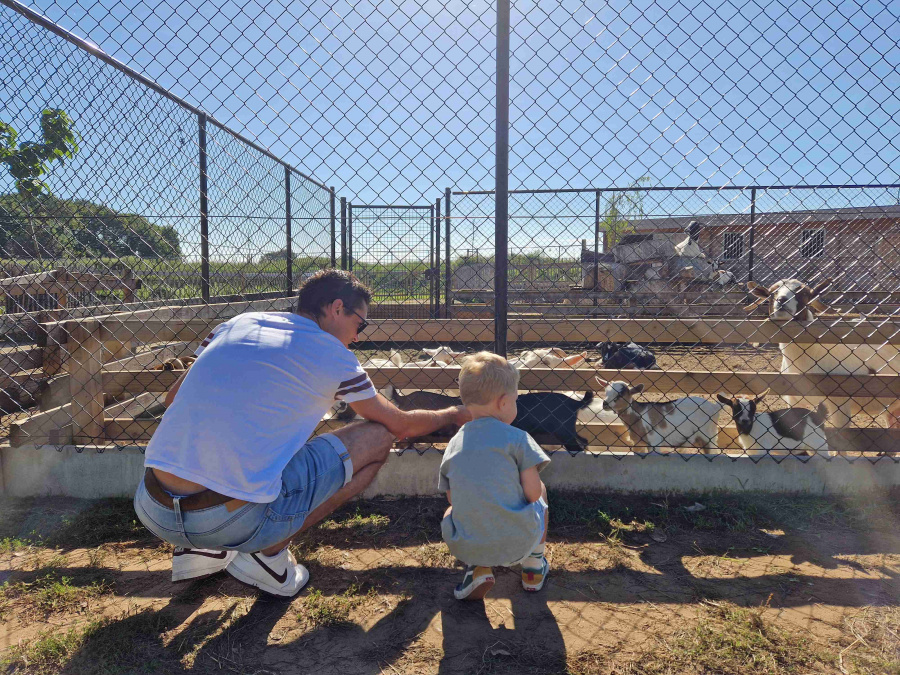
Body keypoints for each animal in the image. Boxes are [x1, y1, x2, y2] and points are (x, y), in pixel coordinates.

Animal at [596, 374, 724, 454]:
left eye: (620, 394)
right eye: (606, 392)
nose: (605, 404)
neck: (639, 414)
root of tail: (715, 407)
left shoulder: (654, 441)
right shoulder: (638, 443)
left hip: (707, 435)